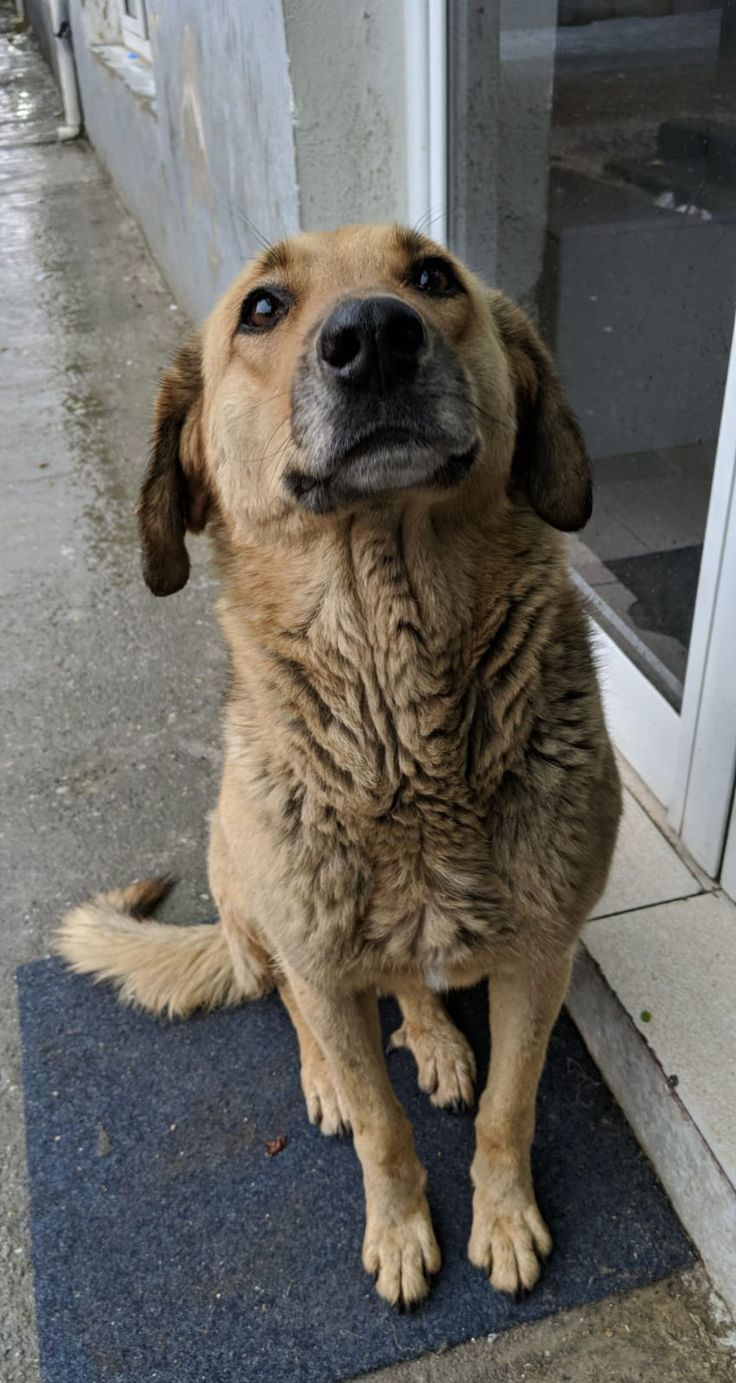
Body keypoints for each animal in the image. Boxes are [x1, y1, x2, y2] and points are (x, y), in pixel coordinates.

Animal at [58, 224, 619, 1305]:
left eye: (433, 276)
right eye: (263, 309)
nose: (374, 340)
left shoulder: (541, 957)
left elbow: (508, 1109)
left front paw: (503, 1215)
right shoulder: (322, 966)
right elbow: (380, 1127)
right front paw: (400, 1228)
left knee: (407, 983)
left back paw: (435, 1038)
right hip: (248, 890)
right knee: (291, 1002)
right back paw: (330, 1070)